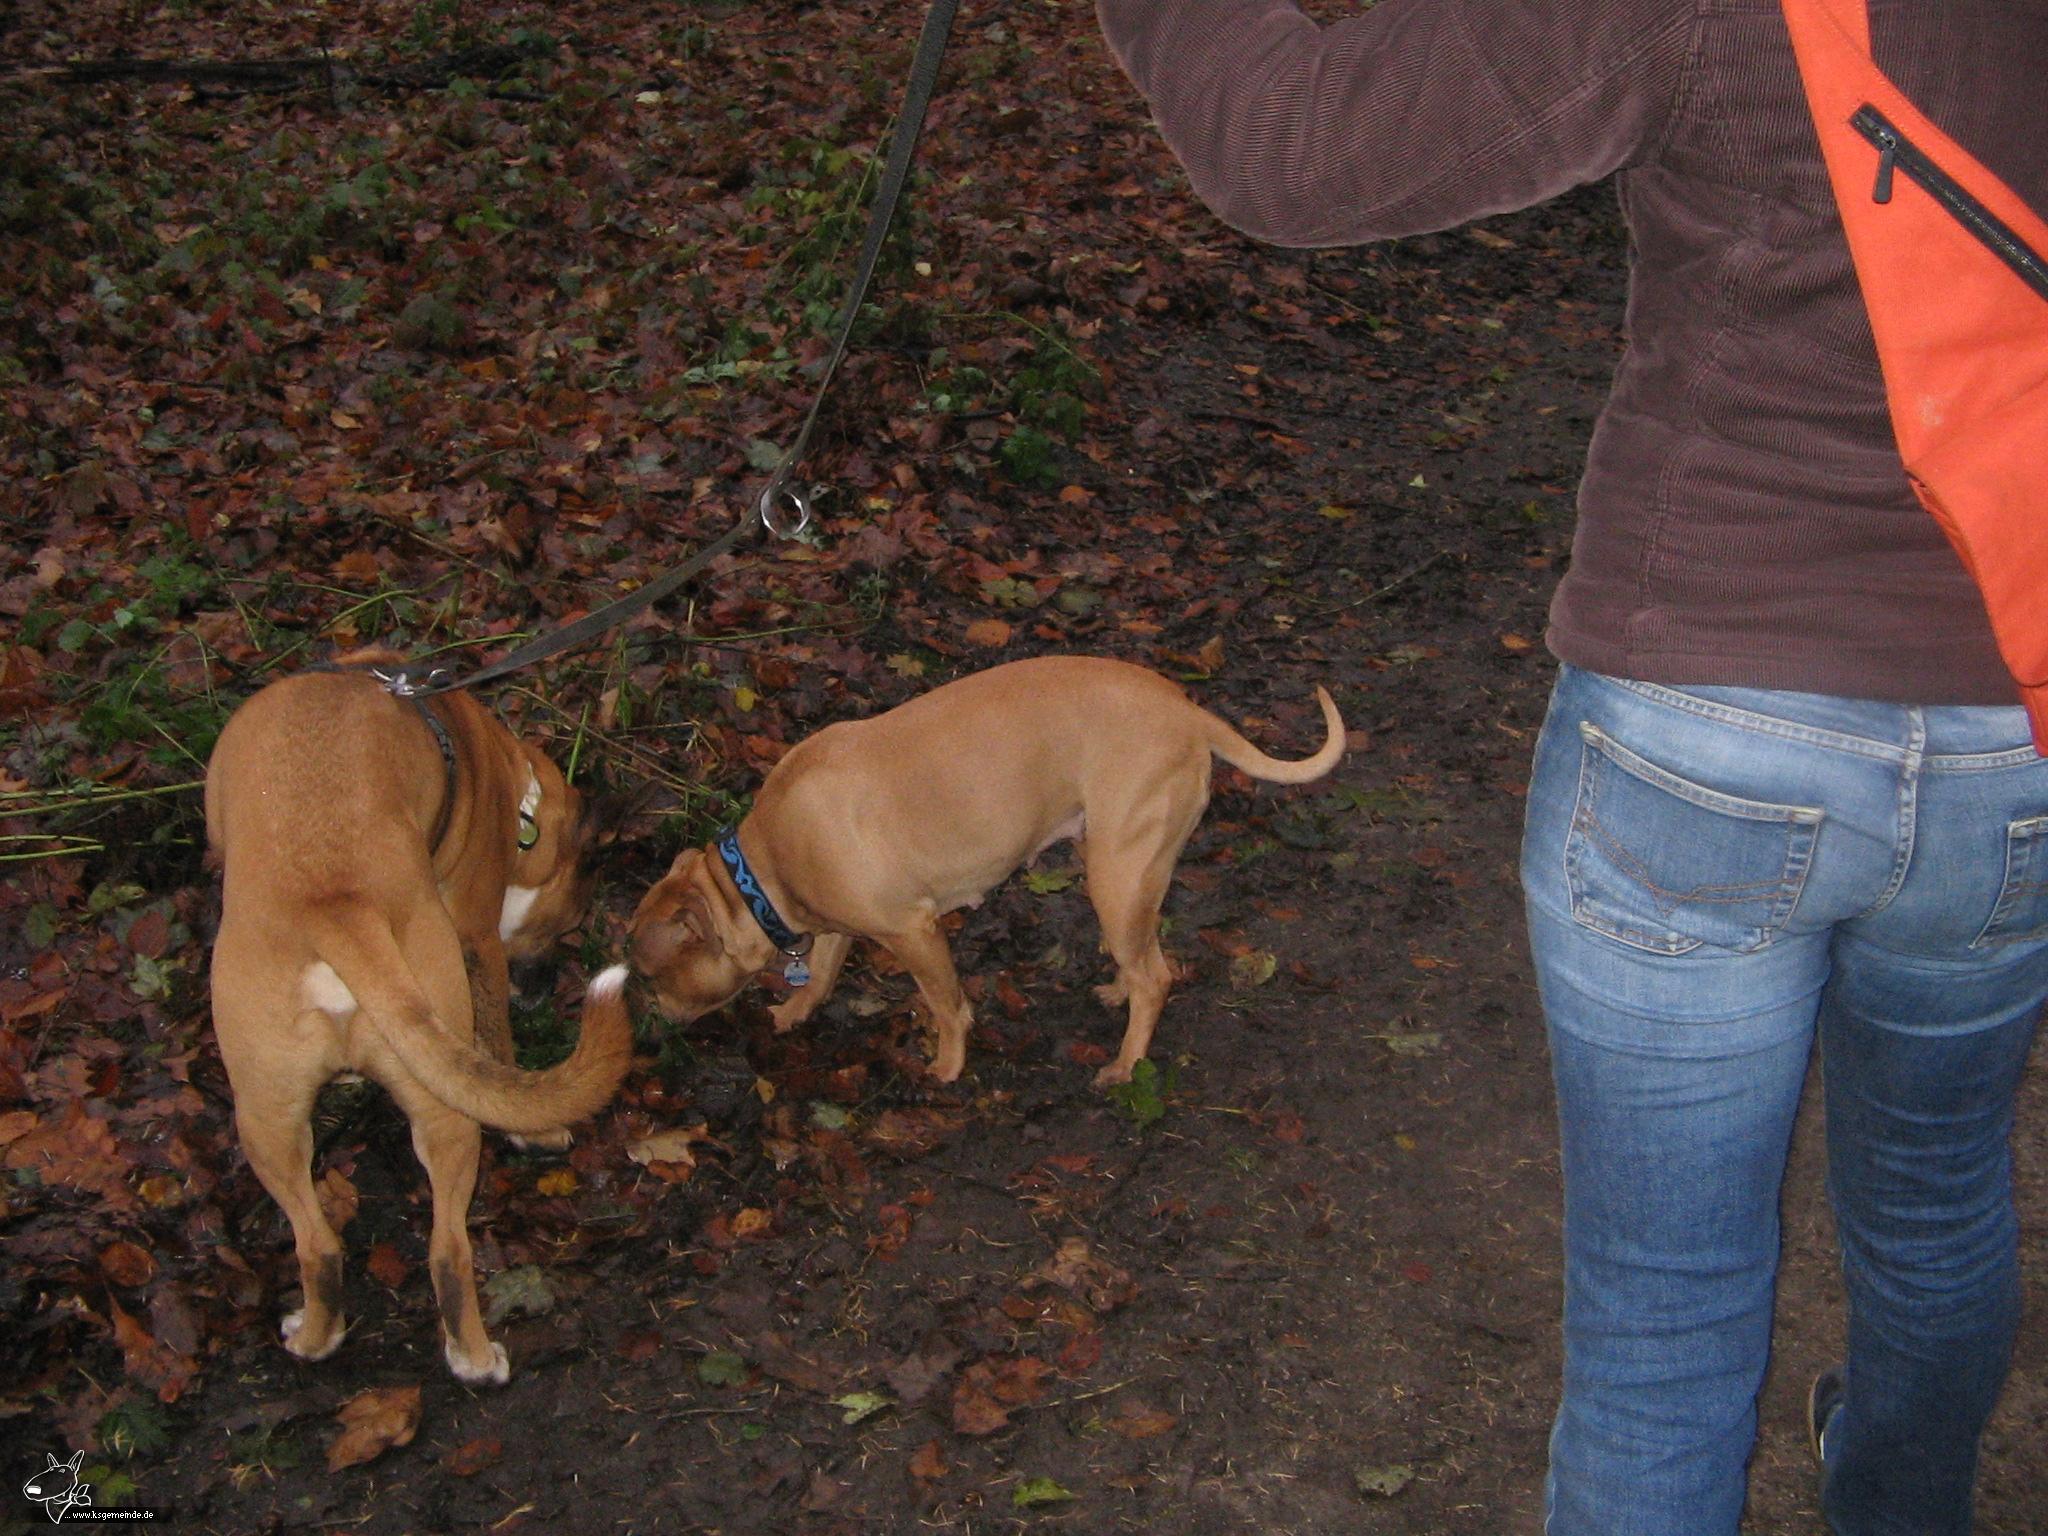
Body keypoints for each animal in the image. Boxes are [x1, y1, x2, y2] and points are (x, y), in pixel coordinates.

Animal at [205, 655, 630, 1392]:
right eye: (570, 921)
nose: (544, 991)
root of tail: (336, 910)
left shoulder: (476, 937)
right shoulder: (480, 938)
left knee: (393, 1245)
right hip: (327, 1110)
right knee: (388, 1248)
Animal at [630, 655, 1351, 1089]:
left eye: (648, 974)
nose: (653, 1021)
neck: (755, 876)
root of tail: (1186, 709)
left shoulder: (914, 931)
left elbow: (947, 1005)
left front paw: (946, 1067)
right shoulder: (841, 924)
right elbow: (825, 972)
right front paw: (793, 1011)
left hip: (1115, 874)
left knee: (1157, 977)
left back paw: (1124, 1064)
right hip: (1119, 872)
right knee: (1143, 954)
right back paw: (1117, 993)